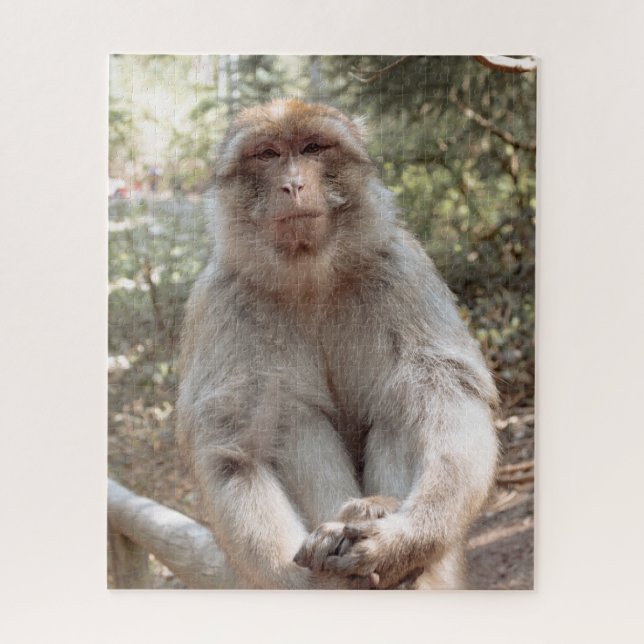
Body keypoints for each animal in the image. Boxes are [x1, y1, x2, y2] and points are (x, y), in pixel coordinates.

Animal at [177, 99, 498, 589]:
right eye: (267, 154)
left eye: (313, 147)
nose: (293, 184)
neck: (311, 280)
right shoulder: (220, 302)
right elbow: (237, 450)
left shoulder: (402, 267)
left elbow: (447, 392)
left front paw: (403, 540)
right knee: (291, 419)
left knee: (403, 403)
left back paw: (377, 515)